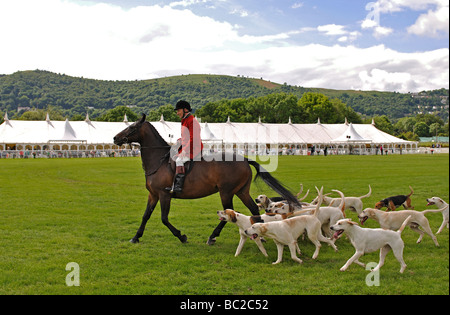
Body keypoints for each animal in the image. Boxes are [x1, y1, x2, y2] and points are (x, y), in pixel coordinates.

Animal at [114, 115, 300, 246]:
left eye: (132, 127)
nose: (115, 138)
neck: (159, 160)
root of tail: (245, 160)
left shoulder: (164, 195)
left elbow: (164, 218)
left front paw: (181, 236)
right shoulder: (153, 195)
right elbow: (146, 215)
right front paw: (136, 237)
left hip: (226, 192)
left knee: (229, 213)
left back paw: (213, 236)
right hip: (241, 191)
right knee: (253, 209)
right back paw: (258, 235)